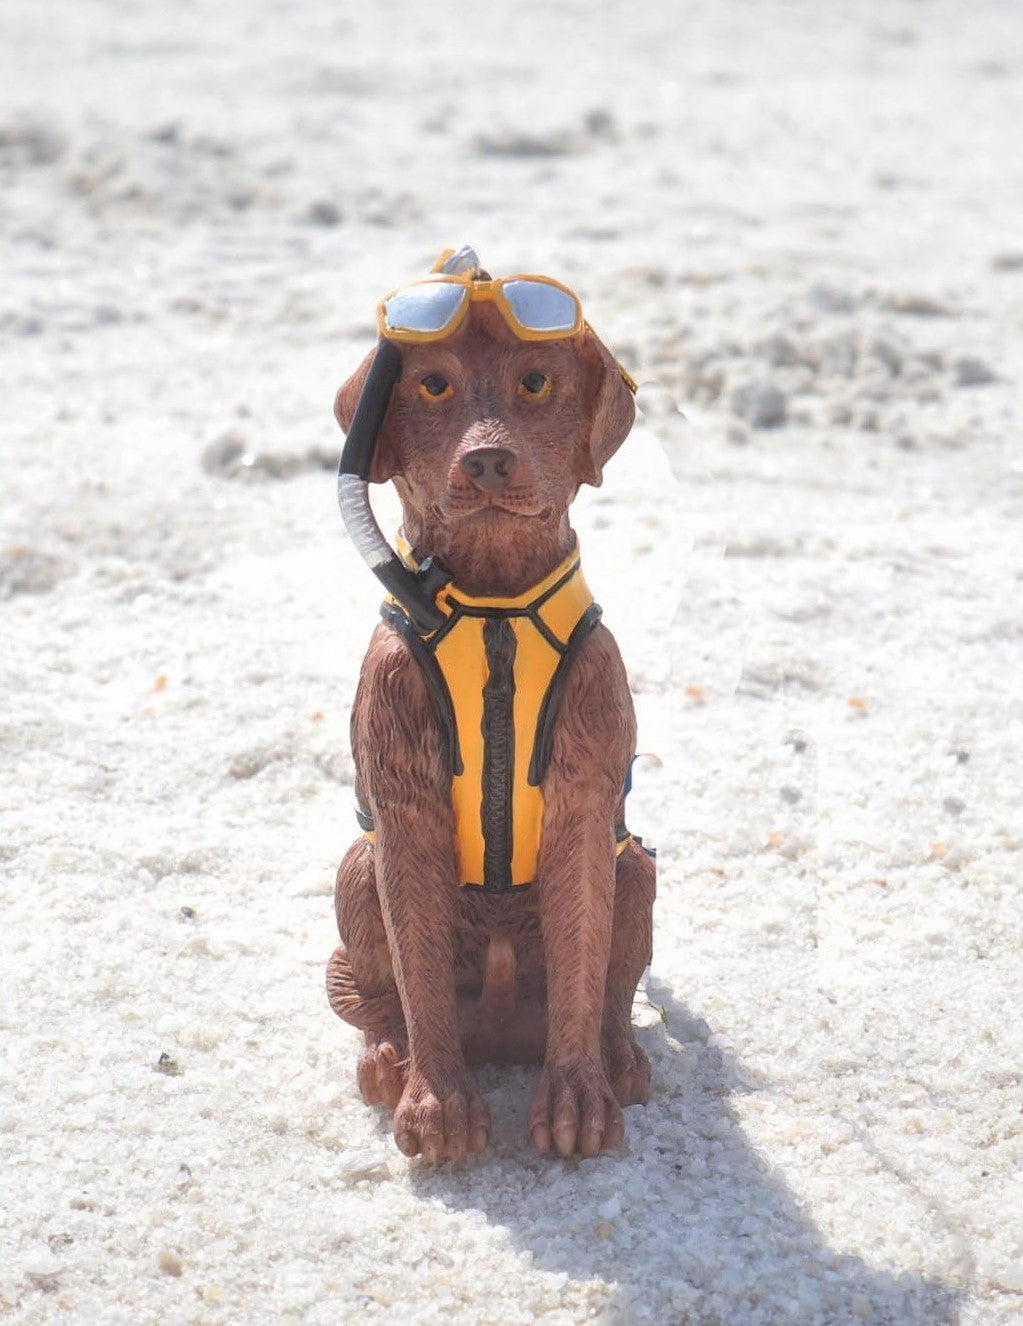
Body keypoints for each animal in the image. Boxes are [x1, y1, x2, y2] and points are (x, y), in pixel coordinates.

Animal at [327, 261, 655, 1161]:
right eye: (433, 385)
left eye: (535, 382)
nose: (486, 461)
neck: (495, 605)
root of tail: (504, 1030)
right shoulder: (403, 809)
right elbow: (418, 974)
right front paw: (436, 1101)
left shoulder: (583, 803)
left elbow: (583, 964)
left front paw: (576, 1097)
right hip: (355, 865)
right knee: (374, 995)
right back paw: (387, 1058)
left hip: (639, 869)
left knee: (613, 985)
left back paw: (618, 1056)